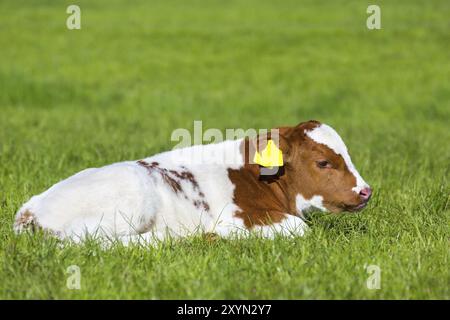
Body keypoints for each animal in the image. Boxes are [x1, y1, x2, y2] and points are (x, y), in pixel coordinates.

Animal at [14, 120, 372, 242]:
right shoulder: (239, 217)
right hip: (132, 203)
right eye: (323, 162)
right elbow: (300, 228)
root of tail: (29, 209)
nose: (366, 191)